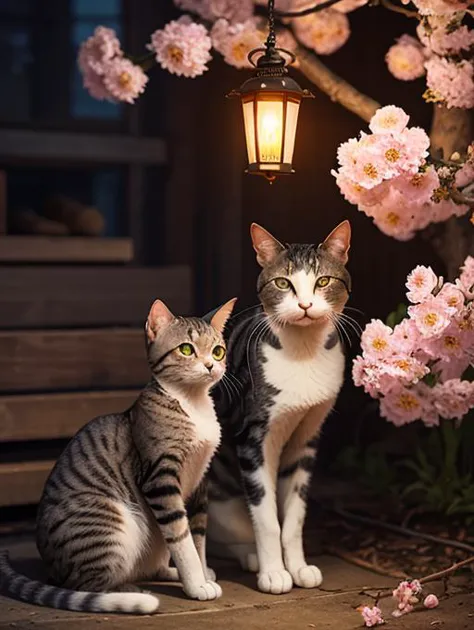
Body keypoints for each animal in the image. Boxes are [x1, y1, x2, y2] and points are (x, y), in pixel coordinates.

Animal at [0, 298, 237, 616]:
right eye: (187, 349)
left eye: (218, 350)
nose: (211, 365)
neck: (193, 404)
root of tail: (53, 570)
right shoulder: (160, 478)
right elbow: (181, 536)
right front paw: (196, 585)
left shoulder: (200, 480)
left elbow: (197, 536)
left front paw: (201, 573)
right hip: (114, 522)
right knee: (87, 584)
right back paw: (131, 592)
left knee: (152, 565)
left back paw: (171, 573)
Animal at [207, 222, 352, 596]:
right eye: (283, 283)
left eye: (323, 281)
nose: (304, 304)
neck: (303, 354)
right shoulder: (254, 438)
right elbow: (267, 516)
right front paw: (274, 573)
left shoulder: (307, 438)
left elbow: (294, 517)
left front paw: (298, 568)